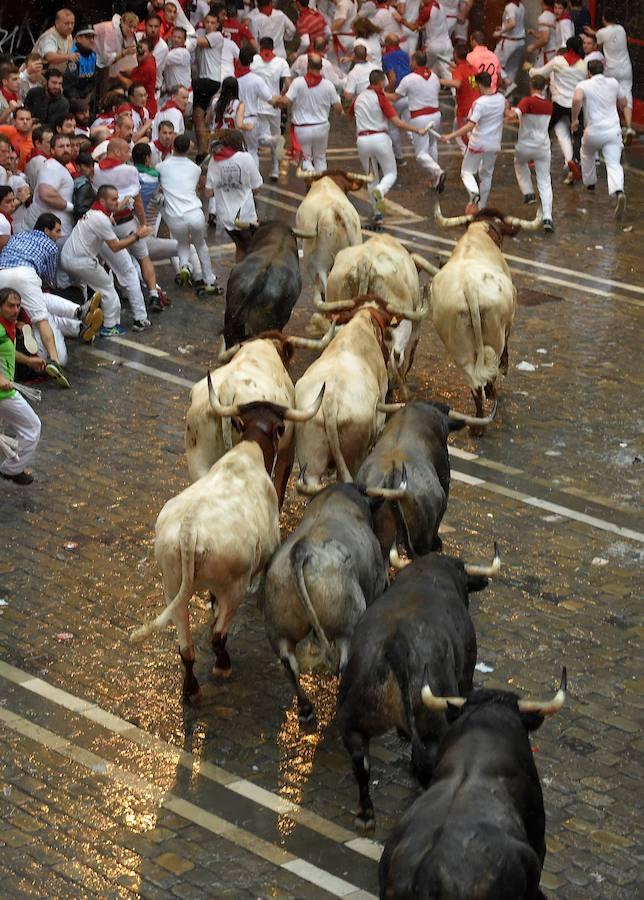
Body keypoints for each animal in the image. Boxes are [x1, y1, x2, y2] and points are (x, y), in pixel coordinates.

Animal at [131, 386, 324, 704]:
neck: (247, 454)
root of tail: (189, 531)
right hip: (233, 588)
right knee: (217, 635)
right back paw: (223, 666)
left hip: (172, 586)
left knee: (186, 648)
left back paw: (191, 689)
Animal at [338, 540, 504, 828]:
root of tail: (395, 645)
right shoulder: (465, 677)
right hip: (432, 727)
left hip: (353, 722)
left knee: (361, 763)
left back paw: (366, 814)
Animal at [430, 199, 540, 416]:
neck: (478, 236)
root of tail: (469, 287)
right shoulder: (509, 321)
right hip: (494, 336)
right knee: (489, 372)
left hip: (459, 348)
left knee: (475, 385)